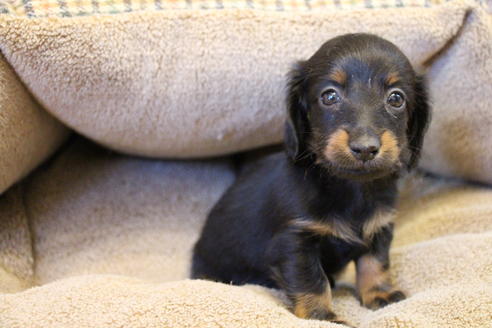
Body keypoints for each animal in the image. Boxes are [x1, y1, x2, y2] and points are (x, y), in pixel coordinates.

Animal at [190, 34, 428, 322]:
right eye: (329, 96)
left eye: (396, 98)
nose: (365, 148)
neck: (350, 187)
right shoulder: (296, 241)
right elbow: (312, 280)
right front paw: (321, 315)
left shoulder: (379, 228)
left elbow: (375, 263)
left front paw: (380, 294)